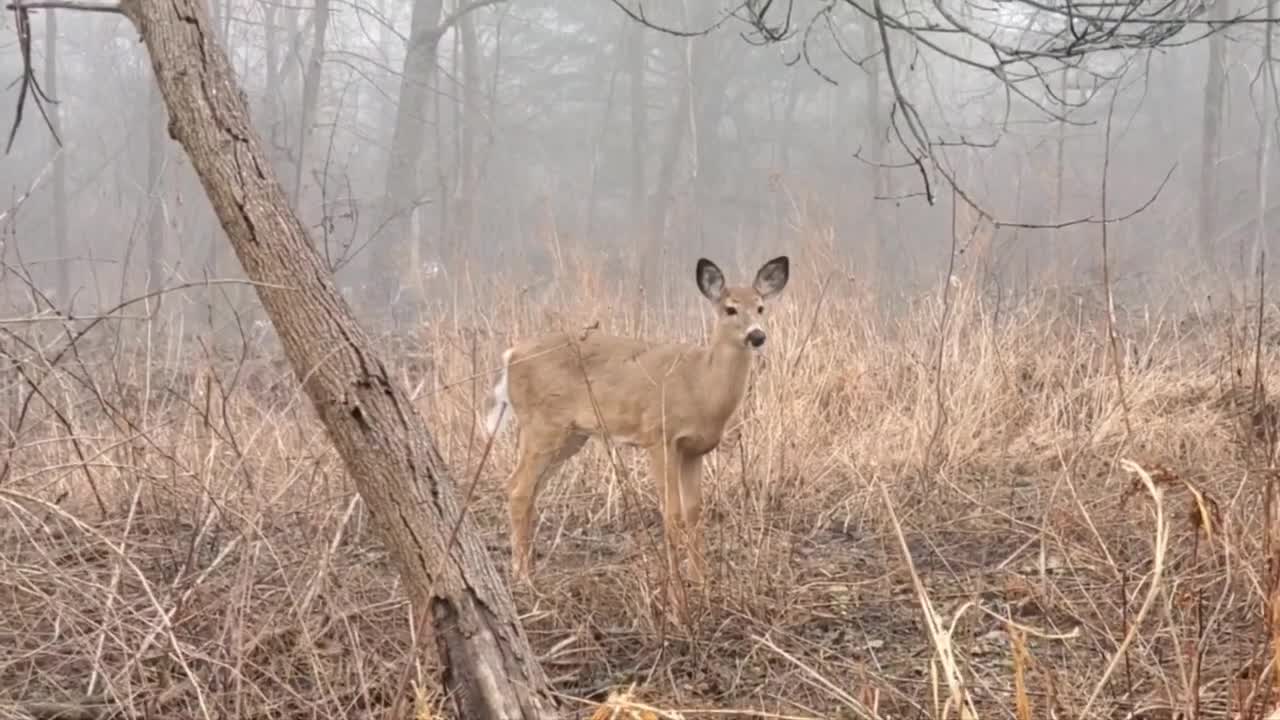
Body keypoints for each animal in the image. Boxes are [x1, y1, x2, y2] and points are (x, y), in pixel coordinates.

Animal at [481, 254, 788, 586]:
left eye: (761, 307)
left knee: (529, 489)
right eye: (730, 309)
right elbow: (672, 512)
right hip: (543, 425)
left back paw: (529, 567)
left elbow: (694, 511)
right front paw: (675, 583)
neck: (701, 384)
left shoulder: (694, 449)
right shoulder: (659, 436)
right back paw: (522, 575)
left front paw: (700, 579)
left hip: (570, 436)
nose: (757, 336)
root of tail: (510, 356)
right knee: (518, 488)